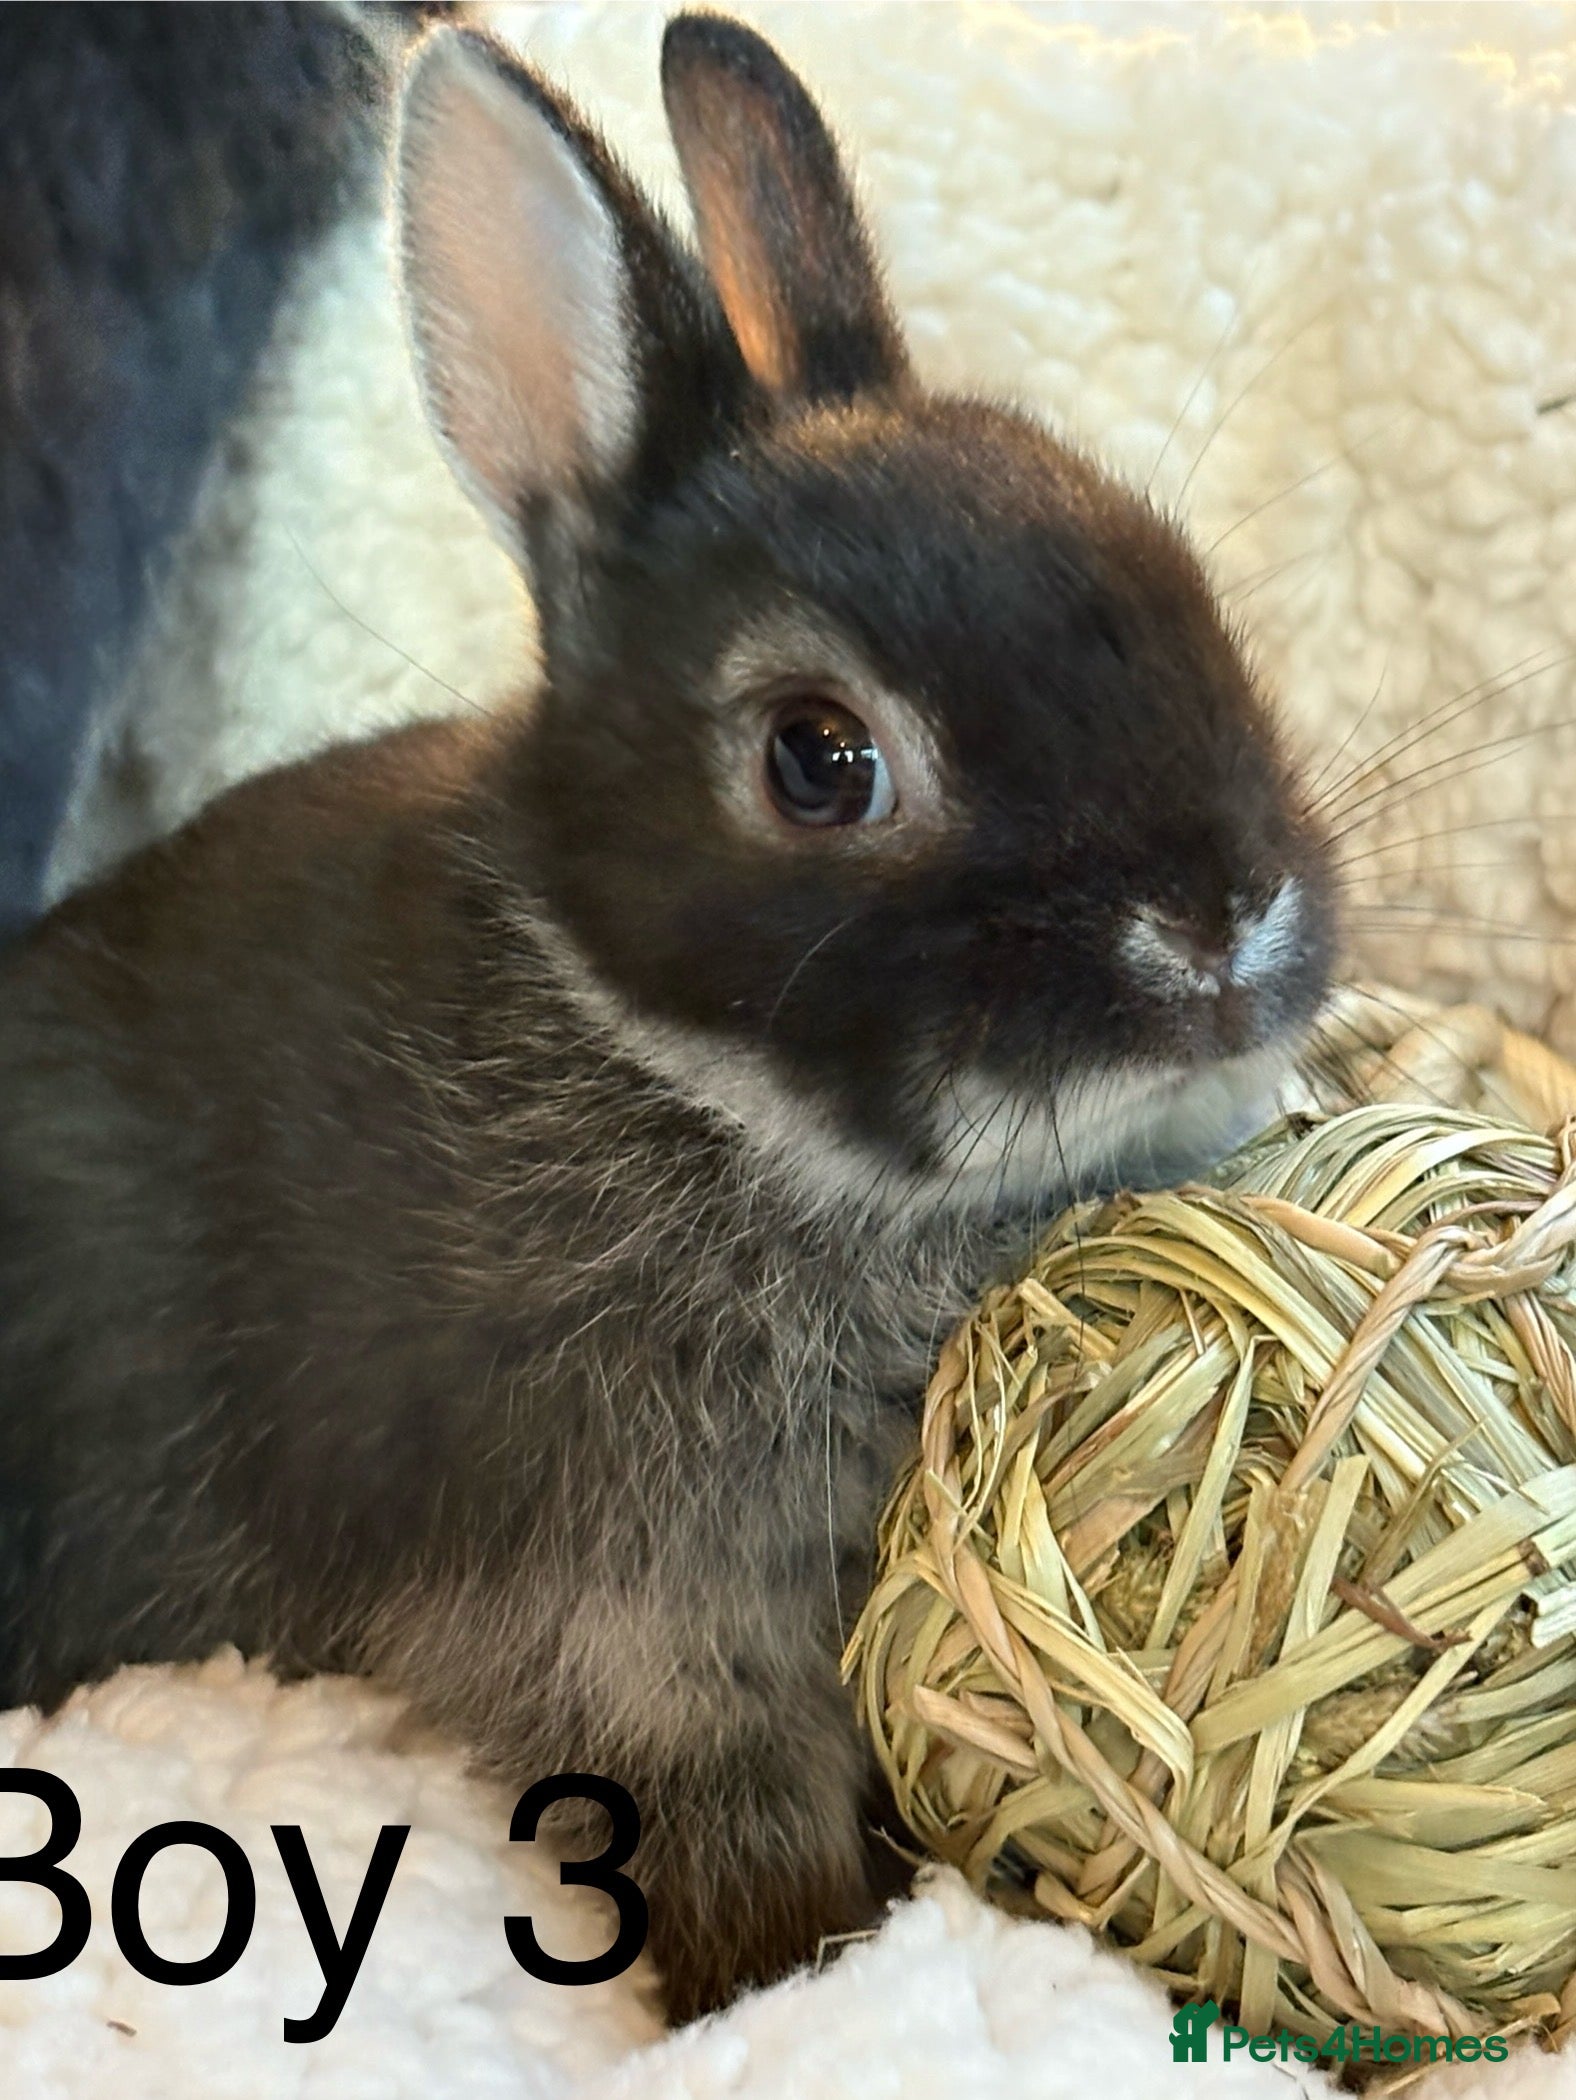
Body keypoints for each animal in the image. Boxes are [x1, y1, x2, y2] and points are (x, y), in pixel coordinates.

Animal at [0, 14, 1336, 2022]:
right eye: (819, 758)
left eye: (1171, 576)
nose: (1229, 934)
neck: (675, 1071)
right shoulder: (629, 1615)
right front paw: (799, 1974)